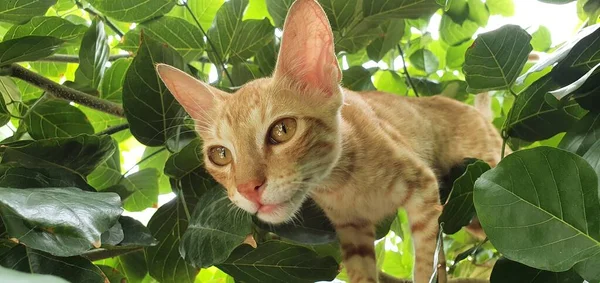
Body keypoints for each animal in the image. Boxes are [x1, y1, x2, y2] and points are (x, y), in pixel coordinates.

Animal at [155, 0, 502, 282]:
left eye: (283, 130)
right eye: (220, 155)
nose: (247, 190)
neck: (344, 185)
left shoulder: (423, 188)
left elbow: (425, 261)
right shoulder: (352, 232)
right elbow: (362, 275)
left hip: (483, 175)